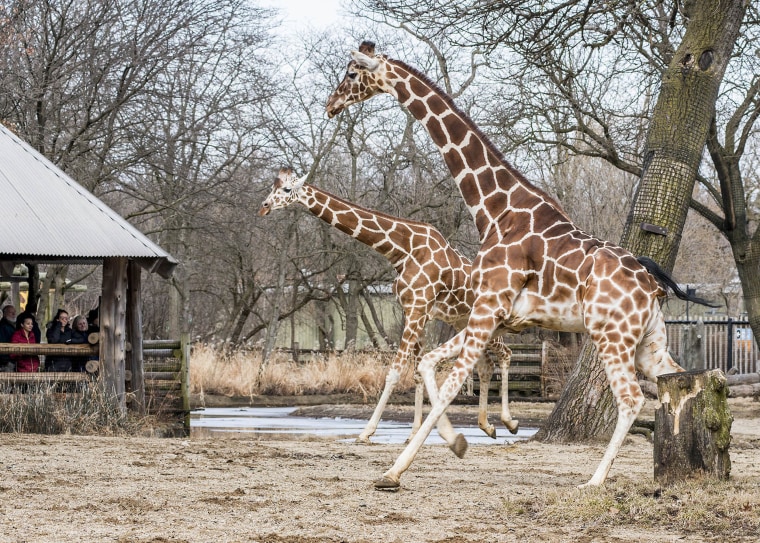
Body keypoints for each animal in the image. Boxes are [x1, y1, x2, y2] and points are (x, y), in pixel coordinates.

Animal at [258, 168, 520, 444]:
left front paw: (366, 432)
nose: (264, 207)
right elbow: (416, 372)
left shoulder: (417, 310)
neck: (402, 250)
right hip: (463, 321)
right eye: (273, 186)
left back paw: (509, 421)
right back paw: (488, 425)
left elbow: (395, 372)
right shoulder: (415, 312)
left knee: (506, 354)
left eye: (287, 189)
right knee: (486, 365)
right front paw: (413, 432)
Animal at [326, 39, 712, 488]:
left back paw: (594, 479)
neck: (495, 209)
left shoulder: (487, 309)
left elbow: (451, 381)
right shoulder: (493, 315)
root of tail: (653, 284)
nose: (331, 105)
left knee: (631, 399)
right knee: (682, 380)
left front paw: (394, 470)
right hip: (648, 344)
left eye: (352, 73)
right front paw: (460, 440)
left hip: (612, 336)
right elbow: (432, 364)